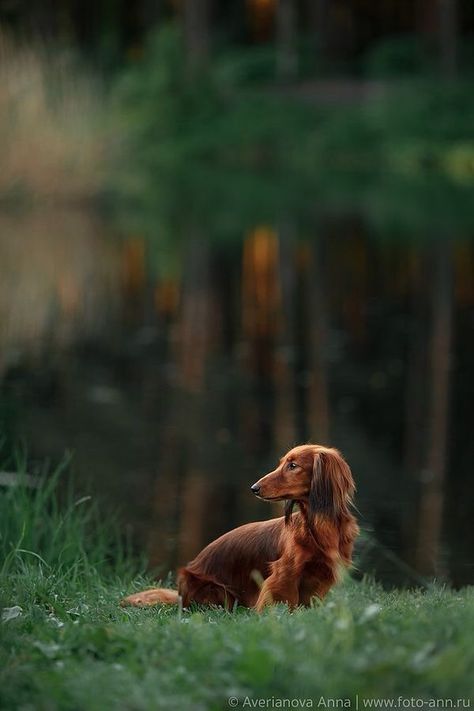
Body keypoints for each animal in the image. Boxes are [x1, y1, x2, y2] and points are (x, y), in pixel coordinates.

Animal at [122, 444, 360, 612]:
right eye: (283, 463)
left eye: (293, 465)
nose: (254, 488)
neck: (319, 525)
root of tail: (180, 593)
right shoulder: (284, 575)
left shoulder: (321, 577)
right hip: (219, 592)